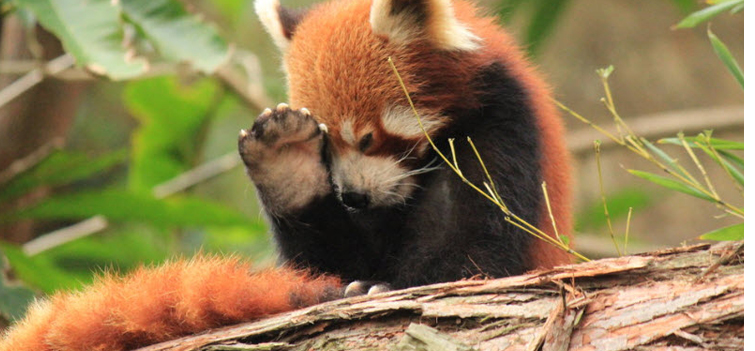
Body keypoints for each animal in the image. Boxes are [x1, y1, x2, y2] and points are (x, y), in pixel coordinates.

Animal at [0, 0, 572, 350]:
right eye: (327, 140)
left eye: (367, 139)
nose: (352, 197)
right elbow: (321, 267)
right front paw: (290, 167)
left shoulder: (505, 133)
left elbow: (481, 254)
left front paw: (387, 285)